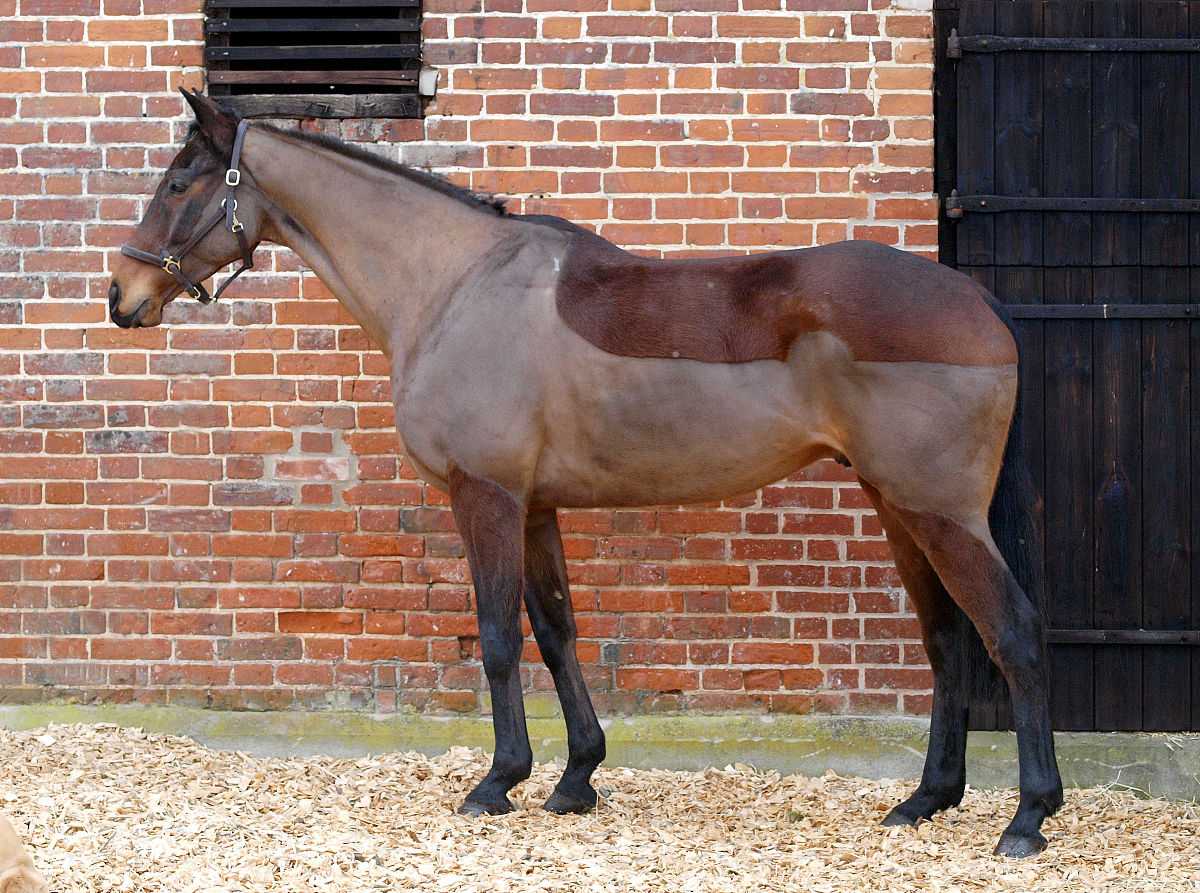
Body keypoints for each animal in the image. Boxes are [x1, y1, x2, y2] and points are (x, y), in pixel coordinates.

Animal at [108, 90, 1063, 858]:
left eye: (180, 184)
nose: (122, 295)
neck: (452, 283)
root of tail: (977, 303)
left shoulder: (486, 495)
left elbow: (498, 636)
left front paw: (498, 781)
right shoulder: (535, 508)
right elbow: (557, 630)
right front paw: (576, 778)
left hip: (938, 512)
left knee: (1013, 631)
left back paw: (1028, 817)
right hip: (897, 506)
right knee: (946, 639)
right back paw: (927, 798)